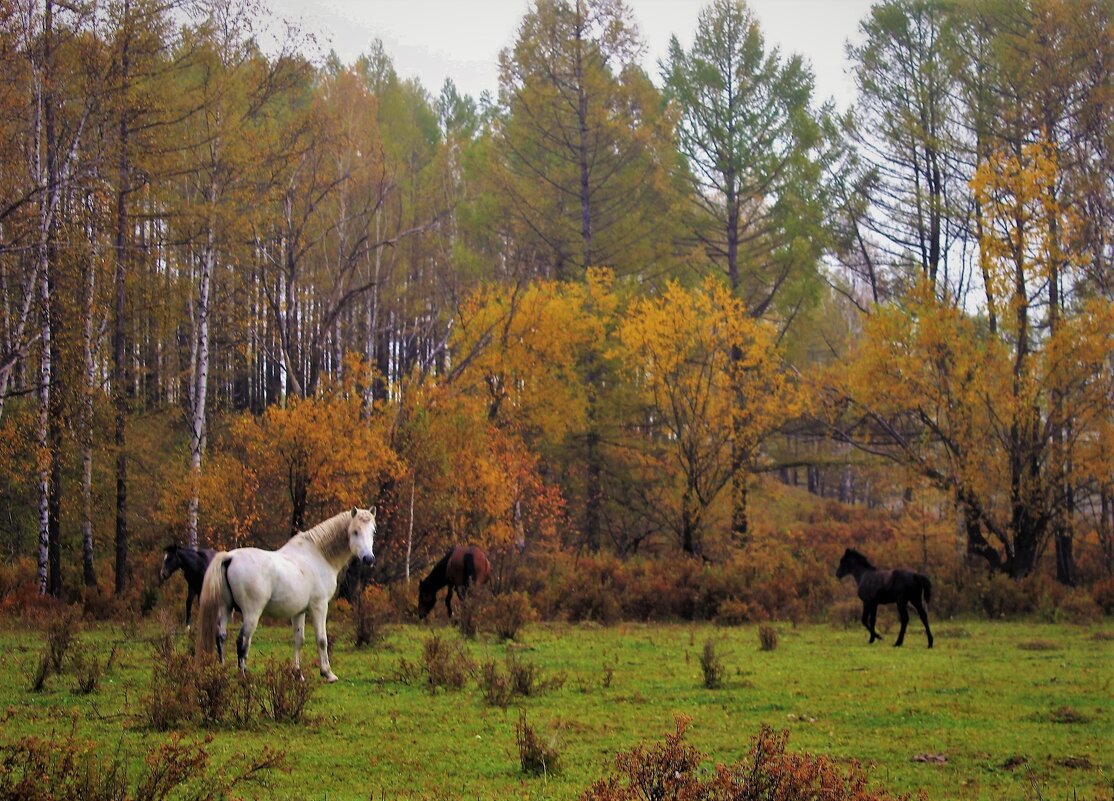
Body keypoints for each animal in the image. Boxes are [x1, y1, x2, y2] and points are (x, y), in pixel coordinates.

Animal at [198, 508, 376, 681]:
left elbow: (299, 640)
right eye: (355, 531)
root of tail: (230, 557)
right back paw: (243, 676)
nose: (368, 558)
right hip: (251, 613)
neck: (318, 556)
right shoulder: (319, 606)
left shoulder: (298, 612)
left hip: (226, 608)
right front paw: (327, 673)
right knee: (242, 641)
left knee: (221, 636)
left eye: (373, 532)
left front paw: (297, 673)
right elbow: (322, 640)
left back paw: (222, 672)